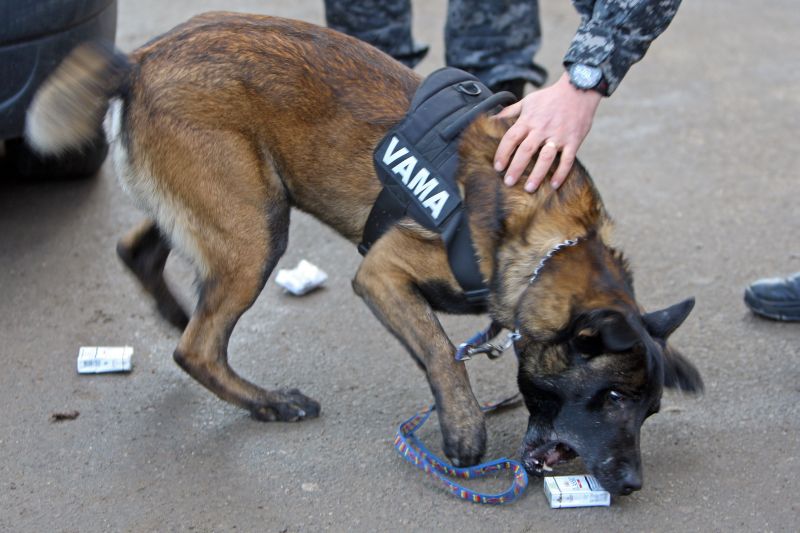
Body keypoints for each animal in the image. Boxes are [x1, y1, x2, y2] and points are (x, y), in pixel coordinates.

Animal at [25, 11, 700, 494]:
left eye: (650, 411)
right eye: (613, 398)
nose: (633, 484)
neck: (550, 245)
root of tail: (139, 59)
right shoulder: (381, 272)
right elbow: (441, 351)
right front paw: (464, 430)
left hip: (230, 204)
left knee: (138, 250)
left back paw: (175, 313)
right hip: (258, 231)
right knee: (197, 347)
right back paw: (267, 402)